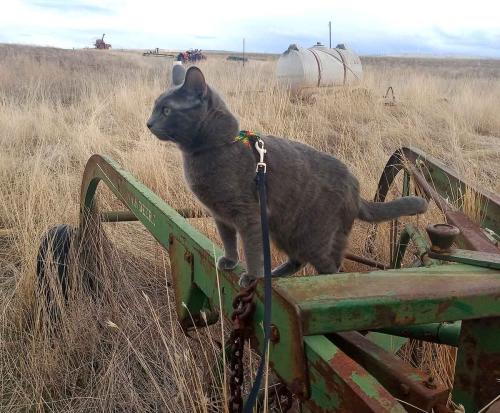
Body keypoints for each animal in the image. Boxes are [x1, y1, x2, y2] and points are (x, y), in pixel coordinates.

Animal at [146, 67, 428, 286]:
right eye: (155, 107)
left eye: (167, 110)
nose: (148, 123)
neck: (214, 148)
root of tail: (356, 191)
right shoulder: (221, 215)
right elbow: (228, 240)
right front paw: (229, 261)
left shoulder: (248, 214)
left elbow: (253, 249)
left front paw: (252, 276)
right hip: (285, 229)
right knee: (298, 260)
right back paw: (276, 273)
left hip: (313, 237)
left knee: (332, 267)